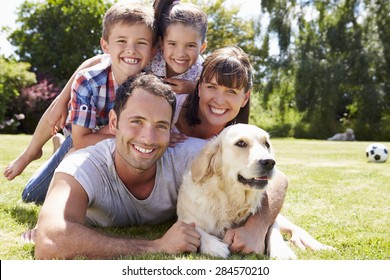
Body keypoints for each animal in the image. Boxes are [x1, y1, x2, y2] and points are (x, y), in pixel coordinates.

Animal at [177, 123, 296, 260]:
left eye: (266, 144)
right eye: (241, 143)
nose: (270, 162)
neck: (230, 200)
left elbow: (273, 229)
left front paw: (282, 250)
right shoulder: (185, 217)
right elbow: (195, 229)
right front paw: (215, 246)